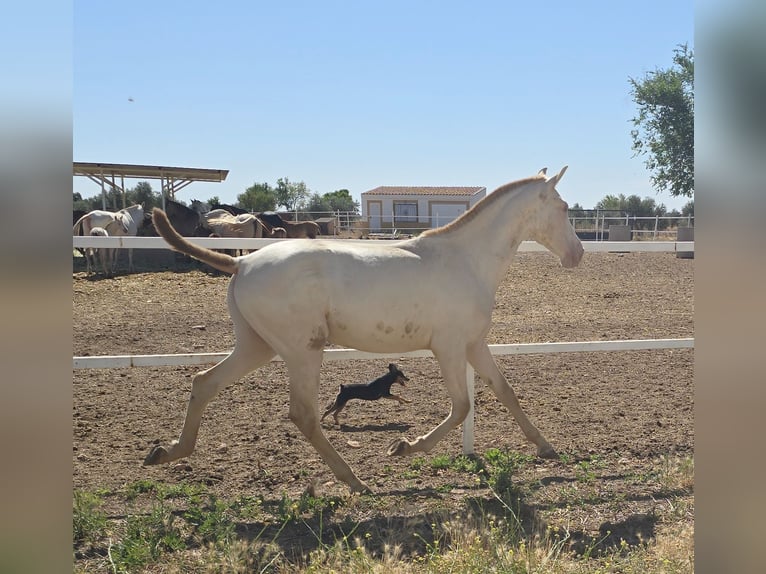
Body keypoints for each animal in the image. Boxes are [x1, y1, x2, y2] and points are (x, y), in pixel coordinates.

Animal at [144, 166, 584, 496]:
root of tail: (241, 264)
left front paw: (546, 447)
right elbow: (461, 407)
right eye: (563, 207)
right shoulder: (449, 347)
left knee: (204, 382)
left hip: (258, 346)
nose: (577, 254)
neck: (466, 260)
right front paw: (403, 447)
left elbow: (505, 391)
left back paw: (165, 452)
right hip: (303, 350)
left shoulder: (474, 344)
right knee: (303, 414)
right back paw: (355, 481)